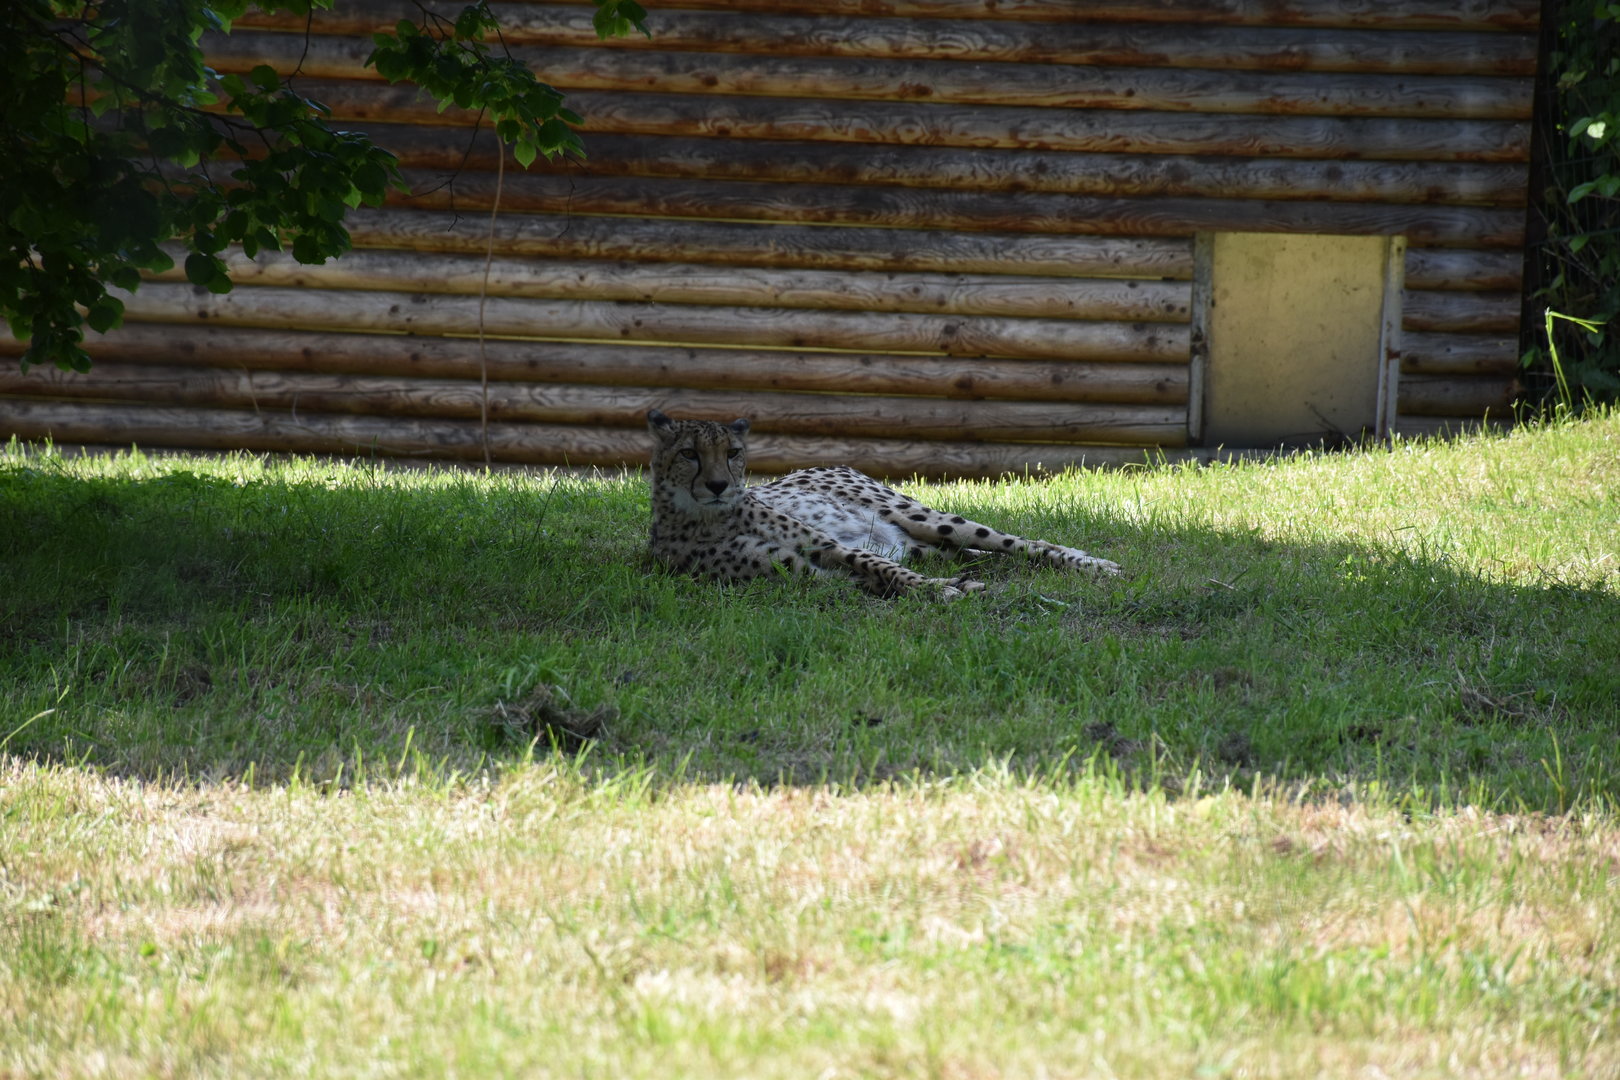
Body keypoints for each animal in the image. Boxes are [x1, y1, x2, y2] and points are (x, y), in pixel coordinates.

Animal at [646, 409, 1120, 600]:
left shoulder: (831, 547)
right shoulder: (806, 575)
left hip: (923, 518)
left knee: (1017, 542)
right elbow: (878, 580)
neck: (706, 518)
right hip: (926, 546)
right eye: (689, 453)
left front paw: (940, 590)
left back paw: (1093, 563)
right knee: (981, 554)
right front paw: (951, 588)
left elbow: (883, 569)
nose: (719, 485)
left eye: (732, 452)